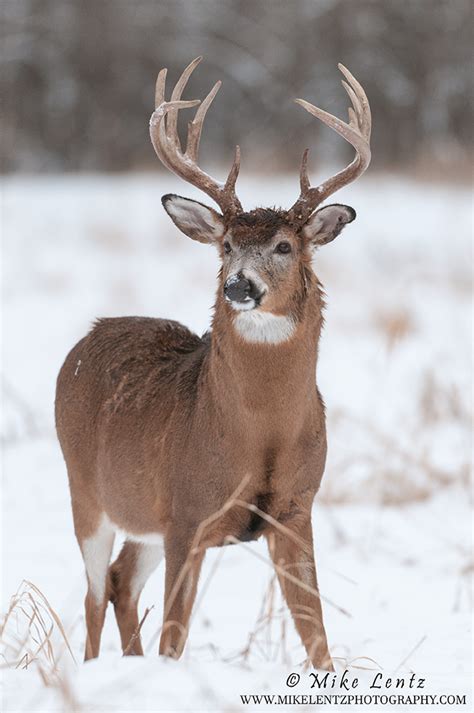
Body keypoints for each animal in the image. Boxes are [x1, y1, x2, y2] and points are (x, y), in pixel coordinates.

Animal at [55, 55, 372, 668]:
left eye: (284, 246)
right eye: (226, 245)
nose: (239, 286)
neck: (259, 438)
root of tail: (89, 335)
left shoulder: (296, 509)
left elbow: (316, 634)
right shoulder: (187, 513)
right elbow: (174, 638)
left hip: (143, 519)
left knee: (120, 582)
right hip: (86, 490)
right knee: (92, 593)